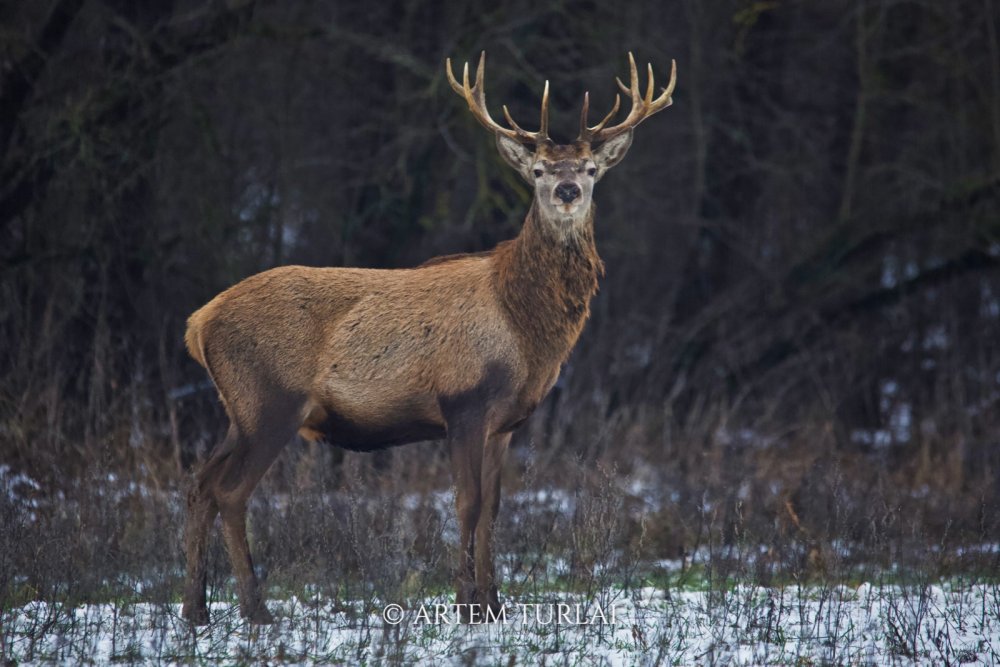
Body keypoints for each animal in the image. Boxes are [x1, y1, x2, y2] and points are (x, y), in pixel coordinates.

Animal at [183, 51, 676, 628]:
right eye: (537, 171)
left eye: (591, 169)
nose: (567, 191)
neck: (524, 331)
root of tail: (198, 323)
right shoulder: (463, 401)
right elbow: (466, 502)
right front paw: (466, 605)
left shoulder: (505, 422)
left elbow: (494, 509)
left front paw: (494, 605)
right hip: (271, 400)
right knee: (230, 490)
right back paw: (255, 608)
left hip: (237, 409)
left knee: (199, 484)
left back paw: (195, 608)